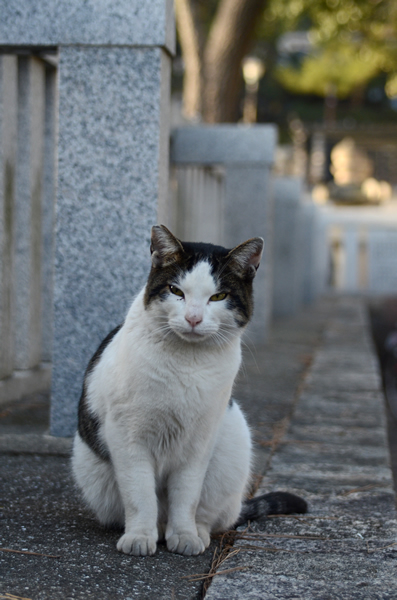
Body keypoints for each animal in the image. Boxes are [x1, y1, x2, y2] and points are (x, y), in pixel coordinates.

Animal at [72, 226, 306, 556]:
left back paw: (197, 533)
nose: (193, 318)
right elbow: (140, 495)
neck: (187, 363)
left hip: (229, 453)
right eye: (176, 291)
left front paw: (184, 535)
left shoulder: (199, 441)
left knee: (210, 515)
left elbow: (187, 496)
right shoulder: (127, 437)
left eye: (218, 296)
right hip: (93, 472)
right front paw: (139, 537)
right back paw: (154, 530)